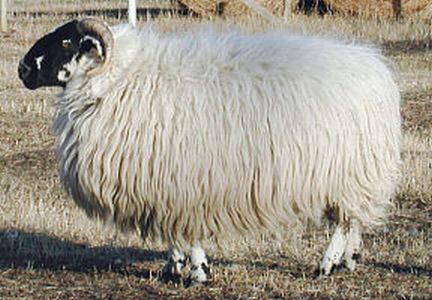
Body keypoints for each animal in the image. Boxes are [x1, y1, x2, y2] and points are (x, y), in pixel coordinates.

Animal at [16, 17, 402, 286]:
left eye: (67, 41)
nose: (21, 69)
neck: (118, 81)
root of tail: (373, 65)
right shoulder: (160, 185)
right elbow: (170, 234)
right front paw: (172, 269)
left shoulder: (181, 184)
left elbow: (186, 234)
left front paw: (198, 272)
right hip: (352, 177)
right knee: (352, 220)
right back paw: (348, 261)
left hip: (352, 172)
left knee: (344, 223)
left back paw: (326, 265)